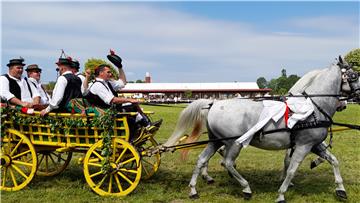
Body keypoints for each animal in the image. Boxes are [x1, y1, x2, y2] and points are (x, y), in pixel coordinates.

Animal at [164, 57, 360, 203]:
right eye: (354, 75)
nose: (354, 98)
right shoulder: (303, 145)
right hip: (234, 143)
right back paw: (246, 188)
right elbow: (291, 169)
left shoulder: (314, 144)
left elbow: (334, 161)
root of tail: (214, 103)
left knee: (201, 160)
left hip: (216, 141)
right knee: (227, 162)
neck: (313, 107)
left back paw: (193, 190)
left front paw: (341, 189)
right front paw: (281, 194)